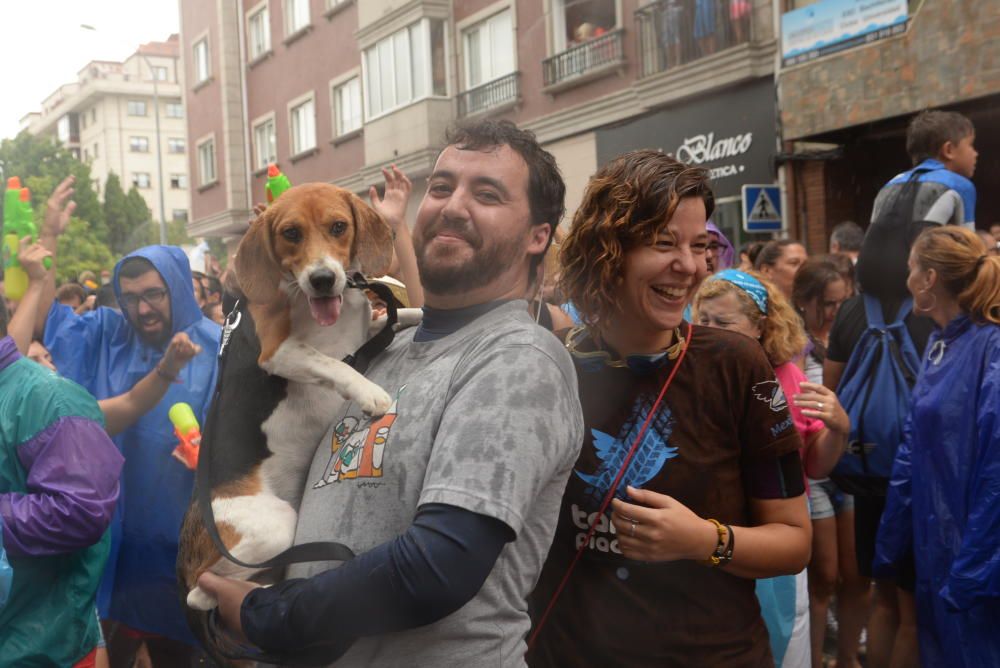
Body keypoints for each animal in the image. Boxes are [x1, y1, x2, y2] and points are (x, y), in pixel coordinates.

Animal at [178, 181, 396, 612]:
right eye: (290, 233)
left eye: (338, 226)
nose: (323, 279)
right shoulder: (278, 353)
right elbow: (335, 364)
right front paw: (370, 392)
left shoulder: (365, 329)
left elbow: (400, 317)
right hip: (277, 527)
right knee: (202, 592)